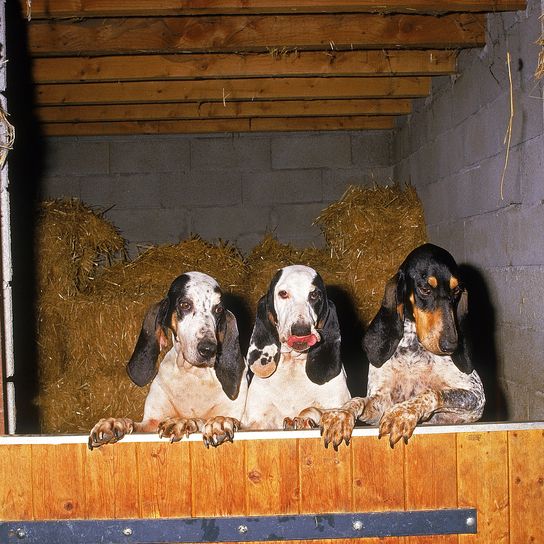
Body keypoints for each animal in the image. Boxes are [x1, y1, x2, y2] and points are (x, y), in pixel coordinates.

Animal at [88, 270, 249, 448]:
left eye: (218, 309)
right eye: (185, 305)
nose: (209, 350)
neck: (193, 374)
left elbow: (208, 419)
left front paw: (193, 421)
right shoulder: (151, 422)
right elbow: (133, 423)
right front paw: (113, 422)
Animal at [241, 264, 348, 430]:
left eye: (314, 295)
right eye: (283, 293)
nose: (301, 330)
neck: (293, 363)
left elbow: (313, 409)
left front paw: (302, 420)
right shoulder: (257, 421)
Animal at [318, 246, 484, 450]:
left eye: (457, 291)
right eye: (425, 289)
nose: (451, 345)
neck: (413, 350)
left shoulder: (476, 398)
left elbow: (431, 393)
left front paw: (402, 413)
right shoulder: (381, 401)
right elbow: (357, 400)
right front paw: (341, 415)